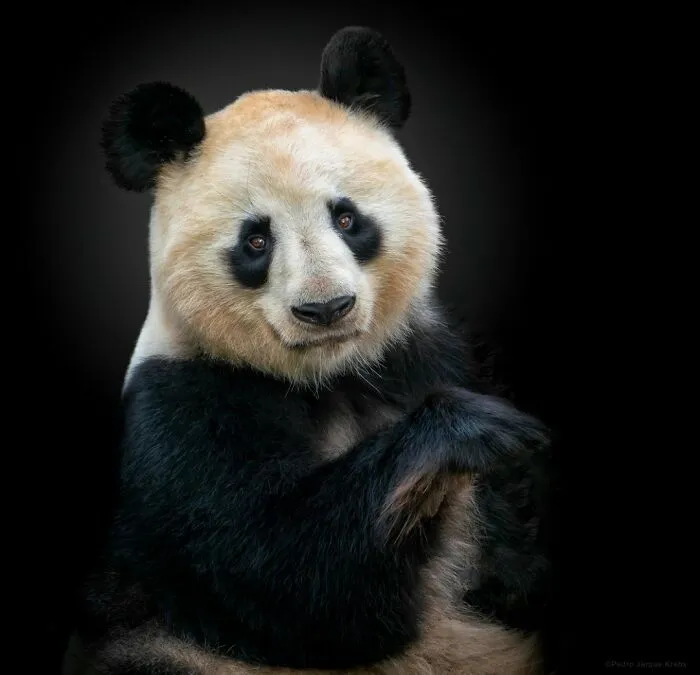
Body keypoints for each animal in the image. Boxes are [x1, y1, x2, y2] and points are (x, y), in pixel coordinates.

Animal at [64, 26, 553, 675]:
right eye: (256, 240)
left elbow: (510, 562)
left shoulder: (427, 351)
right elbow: (284, 576)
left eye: (346, 217)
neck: (329, 374)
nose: (326, 309)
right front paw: (470, 432)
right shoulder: (182, 409)